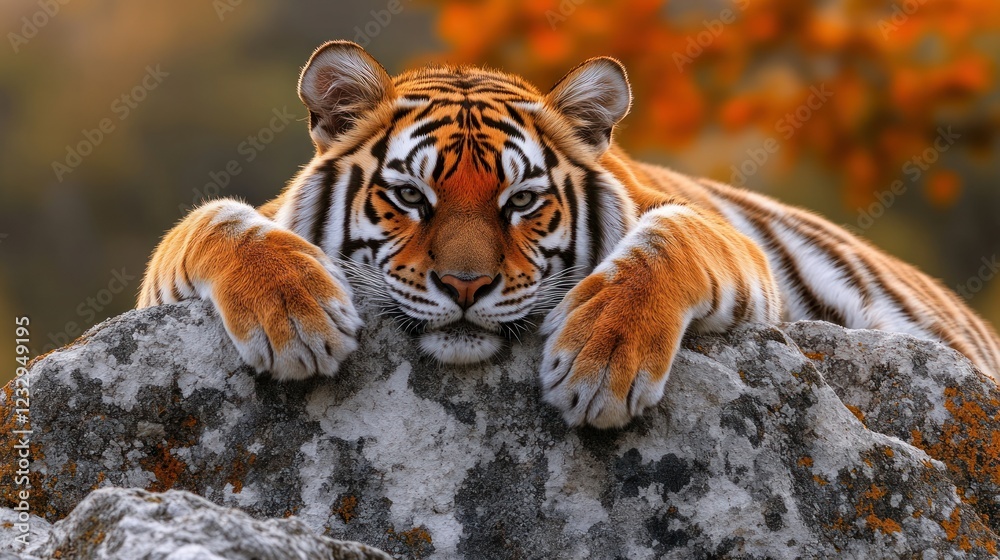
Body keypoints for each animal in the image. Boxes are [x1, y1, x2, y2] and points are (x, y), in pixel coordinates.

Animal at [139, 40, 1000, 428]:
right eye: (411, 195)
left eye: (521, 200)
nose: (465, 287)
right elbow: (215, 217)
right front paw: (295, 315)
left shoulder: (730, 252)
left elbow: (669, 238)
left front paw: (601, 363)